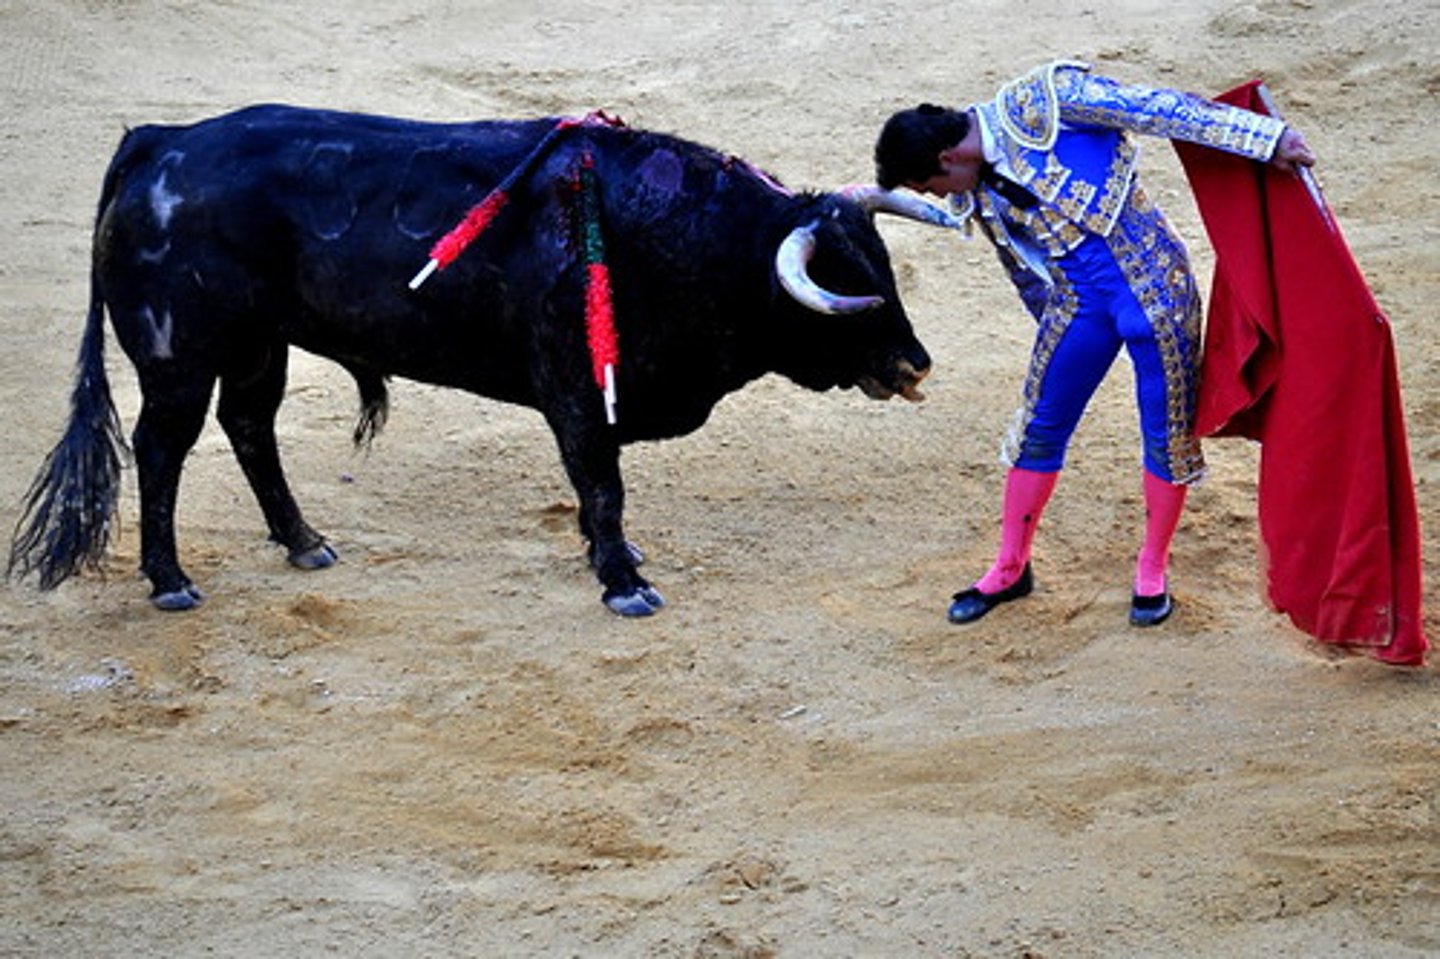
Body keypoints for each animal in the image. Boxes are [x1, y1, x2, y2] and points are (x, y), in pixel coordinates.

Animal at [9, 105, 952, 616]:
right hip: (181, 353)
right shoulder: (577, 395)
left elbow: (598, 493)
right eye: (843, 280)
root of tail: (158, 140)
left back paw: (305, 542)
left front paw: (612, 558)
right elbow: (602, 485)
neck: (678, 238)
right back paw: (170, 579)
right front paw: (621, 579)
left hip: (256, 345)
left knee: (248, 426)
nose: (915, 364)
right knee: (163, 446)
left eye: (882, 263)